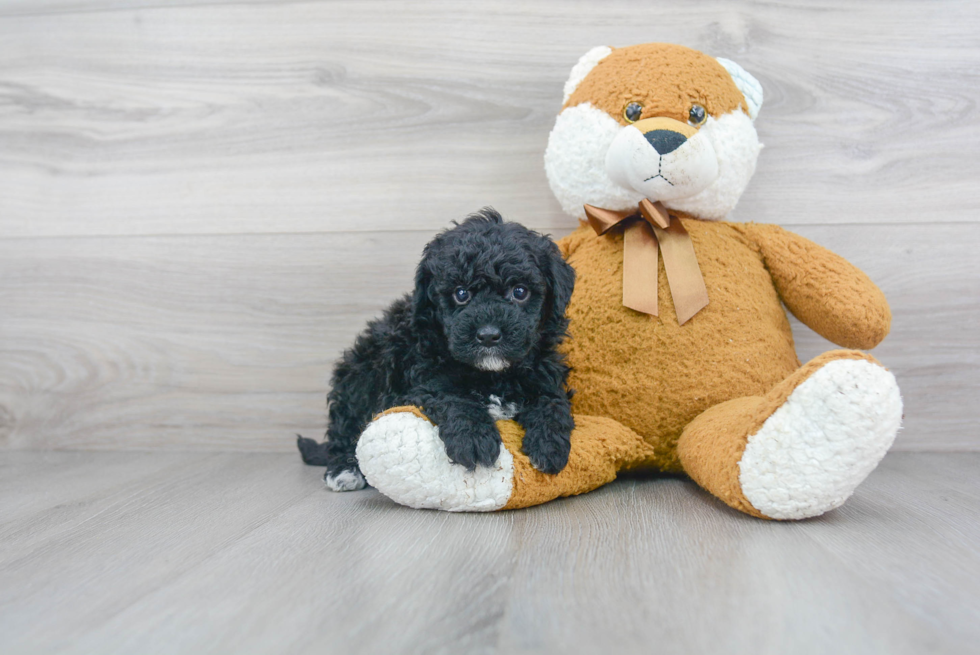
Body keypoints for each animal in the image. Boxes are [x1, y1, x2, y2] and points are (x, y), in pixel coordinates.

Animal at [294, 208, 580, 490]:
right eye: (461, 294)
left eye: (519, 292)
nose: (488, 335)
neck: (493, 375)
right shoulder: (421, 380)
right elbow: (453, 397)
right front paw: (473, 439)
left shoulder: (544, 374)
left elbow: (552, 401)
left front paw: (549, 444)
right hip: (358, 378)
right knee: (344, 429)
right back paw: (344, 469)